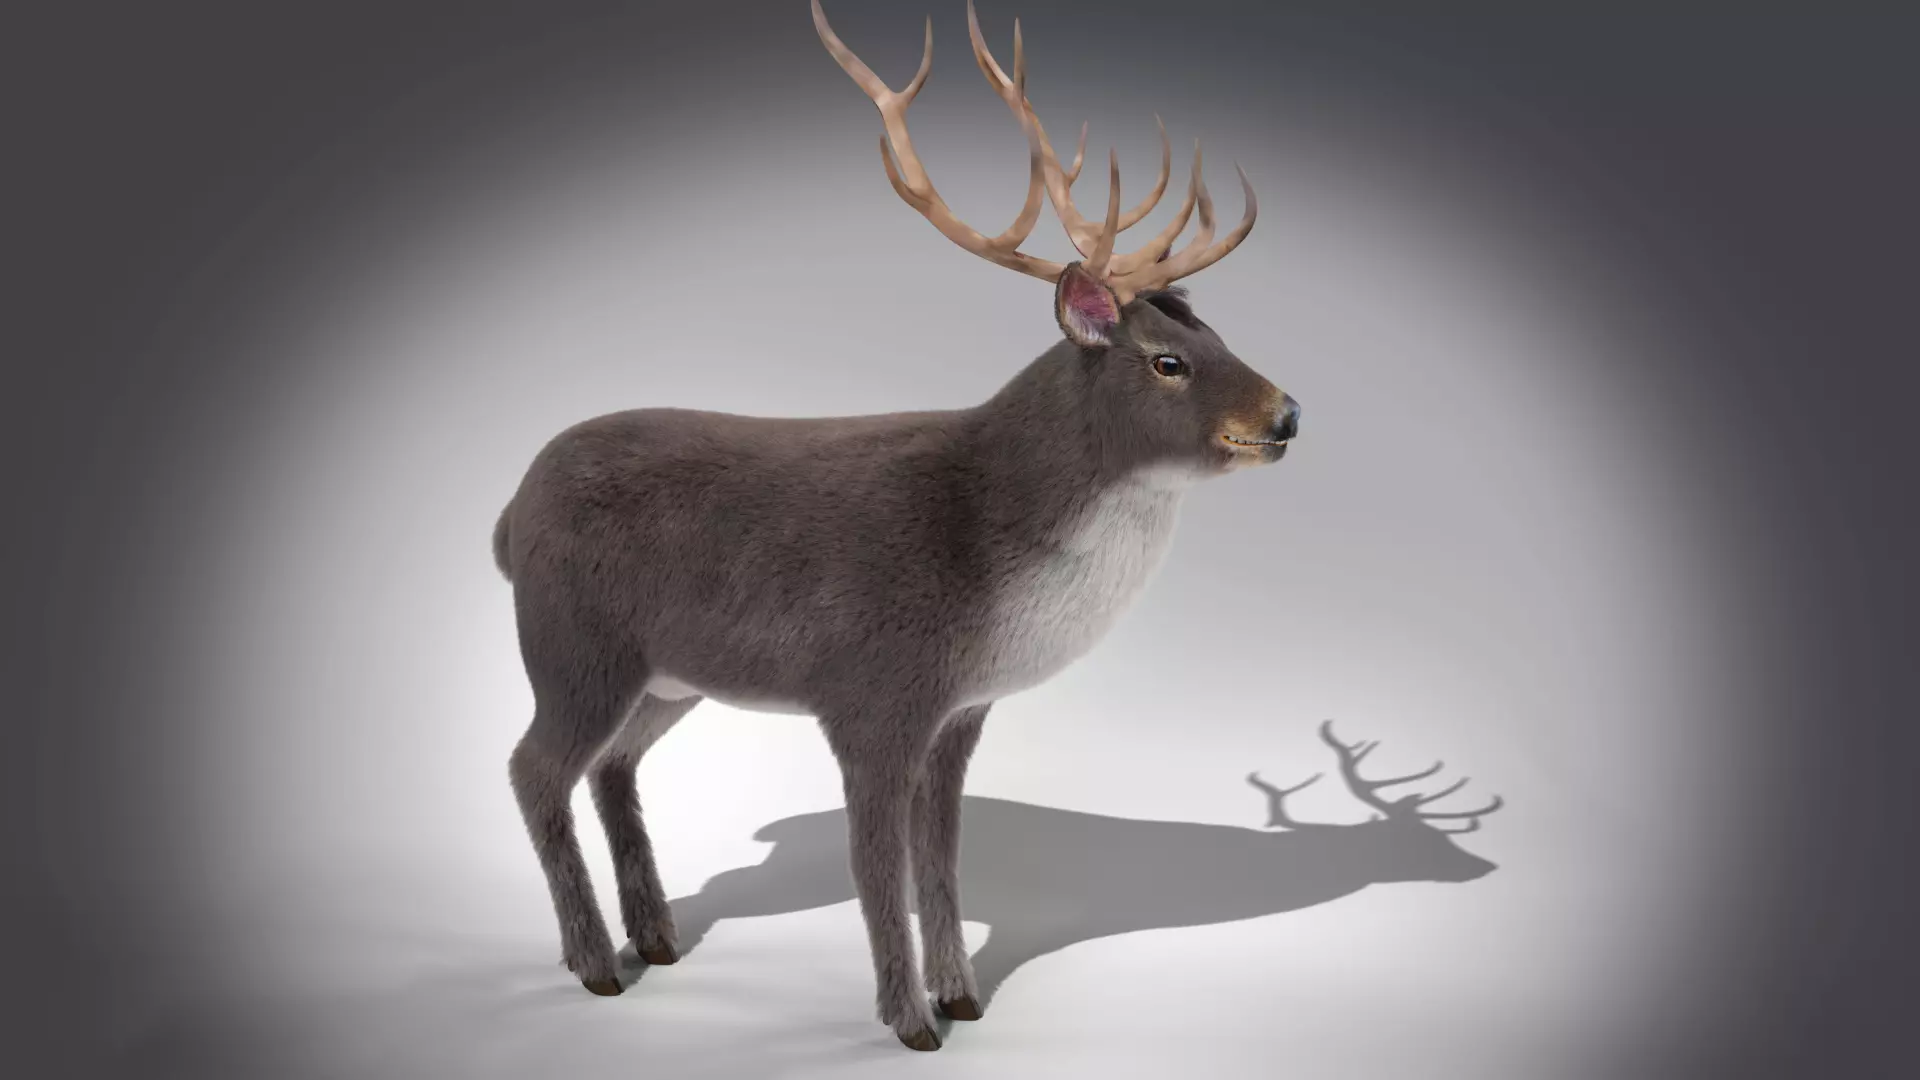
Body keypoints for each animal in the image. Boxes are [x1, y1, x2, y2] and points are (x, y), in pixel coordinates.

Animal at [491, 0, 1294, 1051]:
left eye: (1217, 336)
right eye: (1167, 362)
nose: (1286, 415)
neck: (991, 544)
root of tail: (506, 518)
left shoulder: (958, 713)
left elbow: (939, 858)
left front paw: (963, 998)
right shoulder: (869, 693)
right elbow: (876, 866)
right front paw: (909, 1021)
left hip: (666, 679)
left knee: (613, 766)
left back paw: (655, 940)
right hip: (572, 645)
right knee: (532, 766)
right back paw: (594, 965)